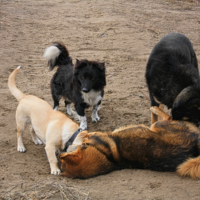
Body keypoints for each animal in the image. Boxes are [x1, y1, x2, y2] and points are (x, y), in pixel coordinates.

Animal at [60, 107, 200, 179]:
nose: (86, 132)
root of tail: (195, 146)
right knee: (165, 117)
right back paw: (154, 109)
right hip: (159, 125)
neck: (106, 156)